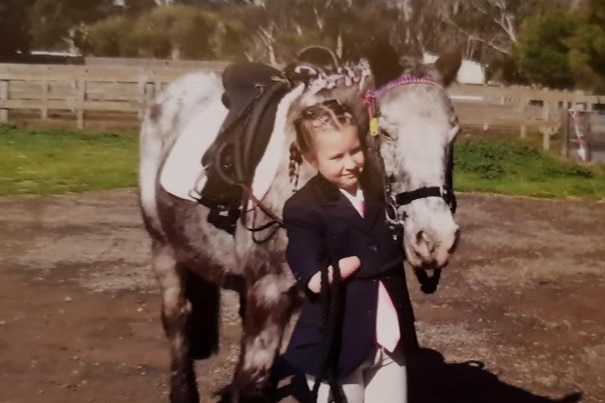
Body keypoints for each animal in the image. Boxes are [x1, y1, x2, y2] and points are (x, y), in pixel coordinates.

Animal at [139, 45, 462, 403]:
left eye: (453, 134)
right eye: (388, 132)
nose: (434, 239)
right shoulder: (269, 293)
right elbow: (252, 380)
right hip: (164, 248)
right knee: (177, 317)